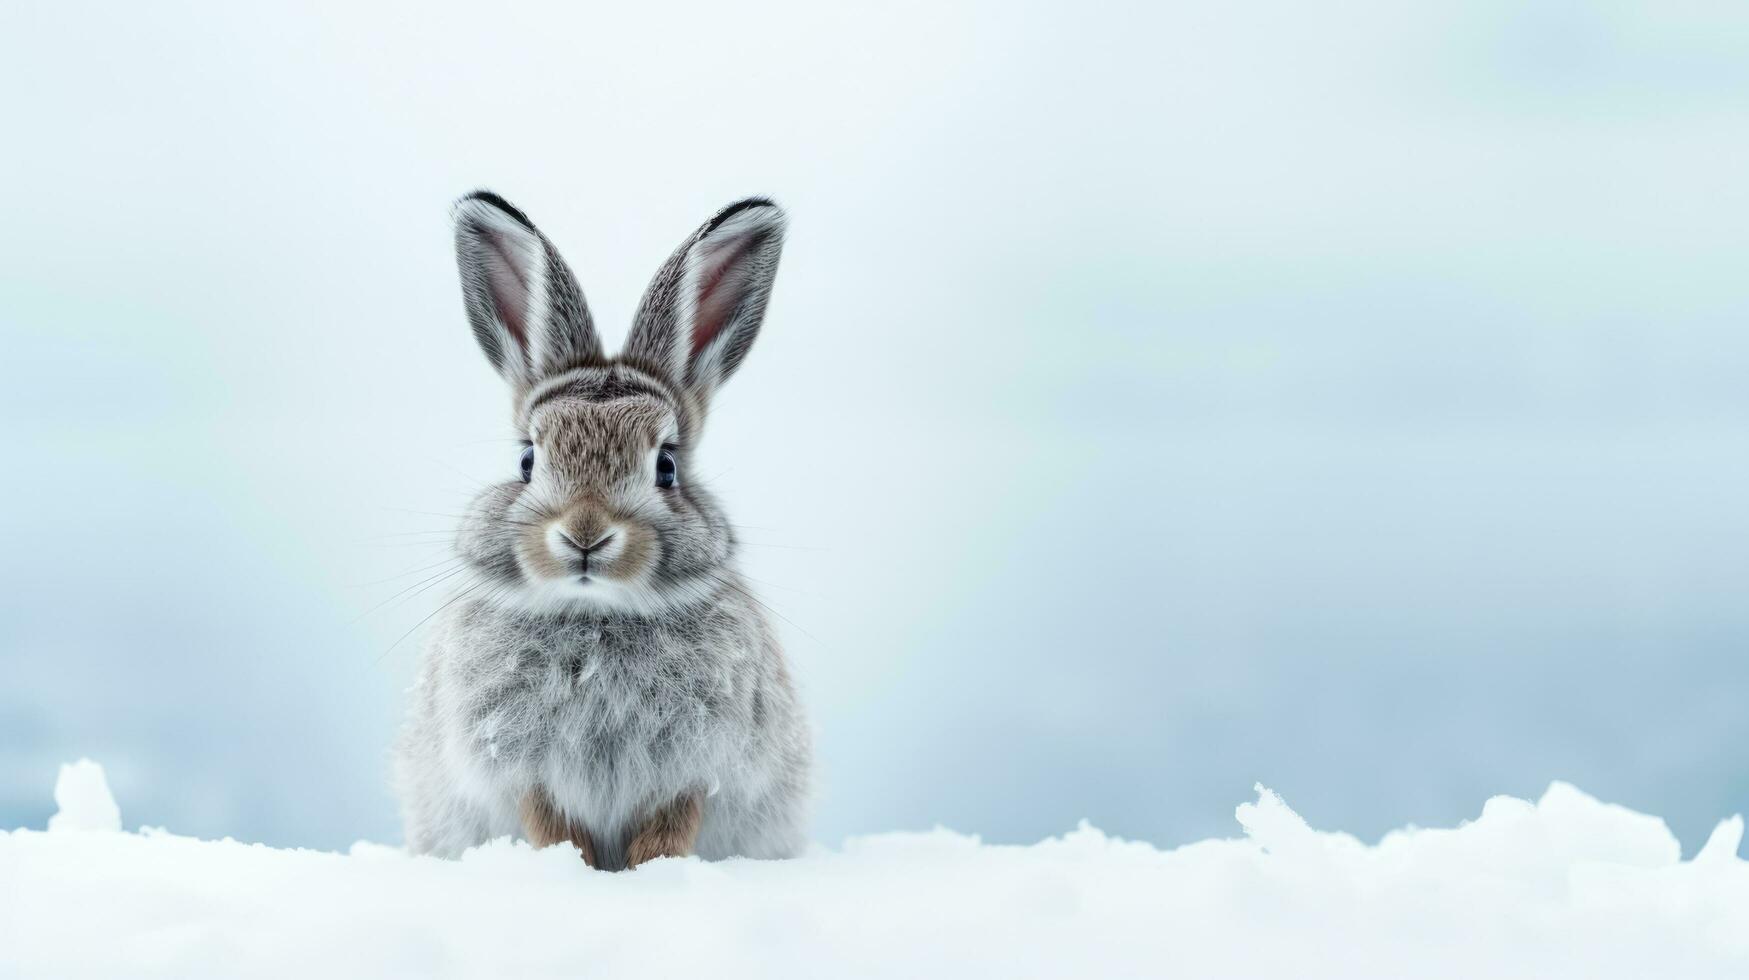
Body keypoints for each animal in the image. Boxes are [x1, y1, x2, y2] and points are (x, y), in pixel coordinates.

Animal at [393, 193, 808, 871]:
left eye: (666, 466)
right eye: (527, 461)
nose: (585, 534)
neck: (597, 614)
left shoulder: (692, 767)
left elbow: (669, 828)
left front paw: (655, 872)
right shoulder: (527, 768)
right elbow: (554, 826)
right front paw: (574, 871)